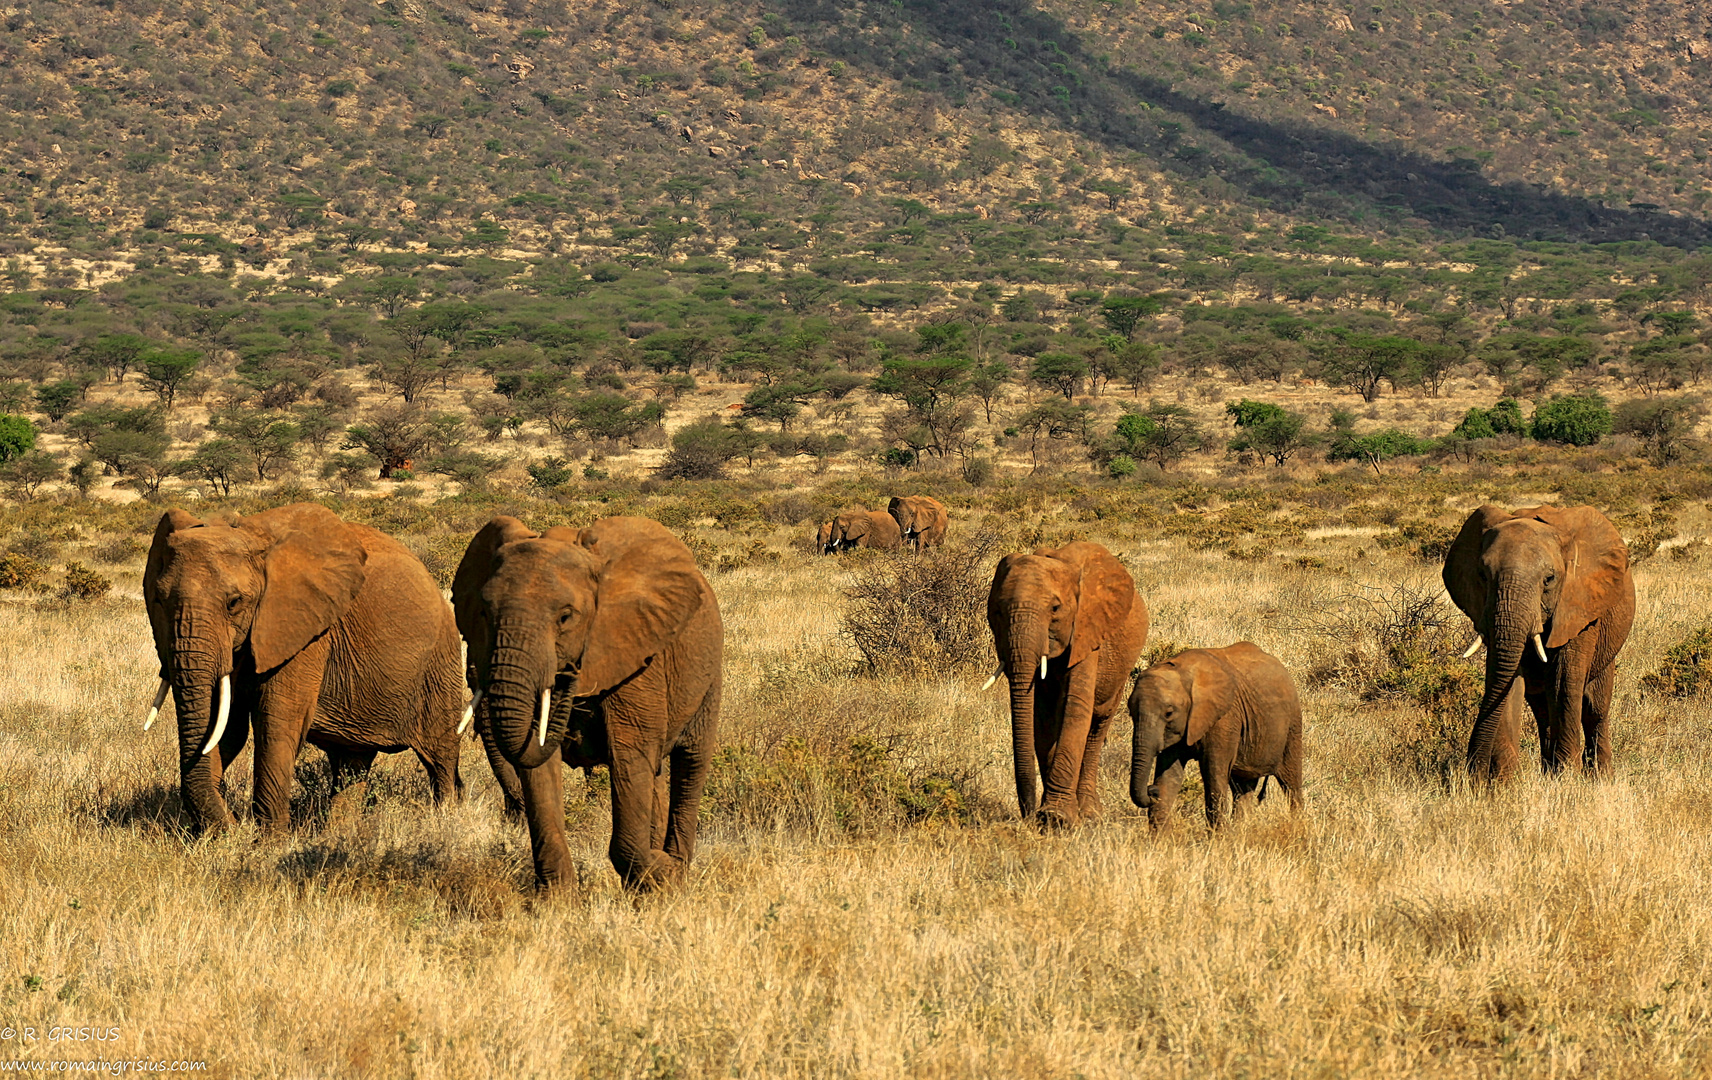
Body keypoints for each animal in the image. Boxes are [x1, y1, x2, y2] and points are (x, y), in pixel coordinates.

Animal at [142, 503, 469, 831]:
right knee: (352, 760)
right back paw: (337, 834)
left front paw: (269, 841)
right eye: (158, 600)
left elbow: (275, 724)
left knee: (440, 755)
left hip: (441, 664)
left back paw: (446, 817)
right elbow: (227, 727)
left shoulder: (304, 632)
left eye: (234, 603)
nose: (234, 821)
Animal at [451, 516, 719, 896]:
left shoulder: (636, 656)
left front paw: (660, 875)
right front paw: (557, 900)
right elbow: (539, 767)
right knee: (655, 774)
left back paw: (677, 872)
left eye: (566, 617)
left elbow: (629, 756)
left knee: (691, 763)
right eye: (485, 613)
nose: (568, 675)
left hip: (708, 671)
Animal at [992, 540, 1150, 828]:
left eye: (1055, 609)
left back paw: (1089, 812)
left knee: (1097, 727)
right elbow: (1041, 719)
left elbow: (1075, 708)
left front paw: (1056, 818)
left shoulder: (1088, 630)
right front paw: (1050, 816)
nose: (1027, 815)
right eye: (997, 611)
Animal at [1129, 643, 1301, 828]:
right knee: (1243, 786)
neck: (1183, 671)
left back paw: (1299, 822)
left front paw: (1217, 835)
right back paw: (1241, 829)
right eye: (1131, 713)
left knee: (1291, 782)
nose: (1152, 790)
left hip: (1293, 724)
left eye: (1169, 713)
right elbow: (1169, 775)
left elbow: (1214, 774)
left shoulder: (1225, 719)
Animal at [1444, 503, 1629, 780]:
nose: (1473, 776)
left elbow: (1563, 681)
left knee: (1594, 709)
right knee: (1543, 711)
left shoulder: (1579, 606)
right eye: (1482, 576)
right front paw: (1505, 782)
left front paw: (1567, 779)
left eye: (1549, 579)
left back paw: (1601, 777)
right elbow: (1506, 681)